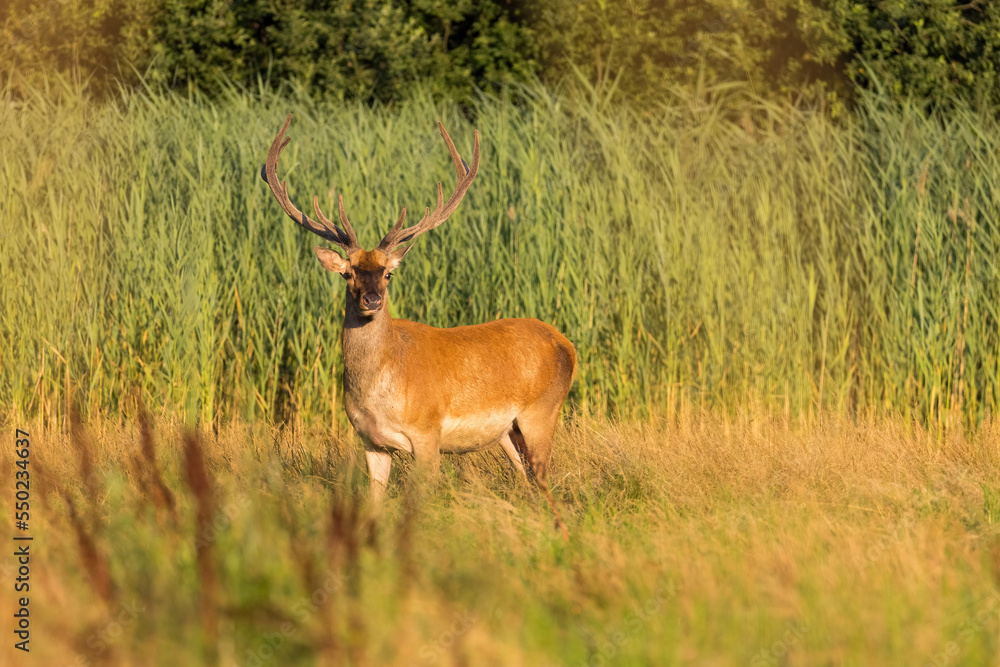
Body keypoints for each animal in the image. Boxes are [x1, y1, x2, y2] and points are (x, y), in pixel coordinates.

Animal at [261, 114, 576, 532]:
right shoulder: (371, 441)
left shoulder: (428, 434)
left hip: (542, 411)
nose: (372, 299)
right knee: (529, 480)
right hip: (509, 432)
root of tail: (567, 343)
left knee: (544, 478)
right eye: (348, 273)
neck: (380, 387)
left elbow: (418, 504)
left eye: (388, 273)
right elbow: (374, 501)